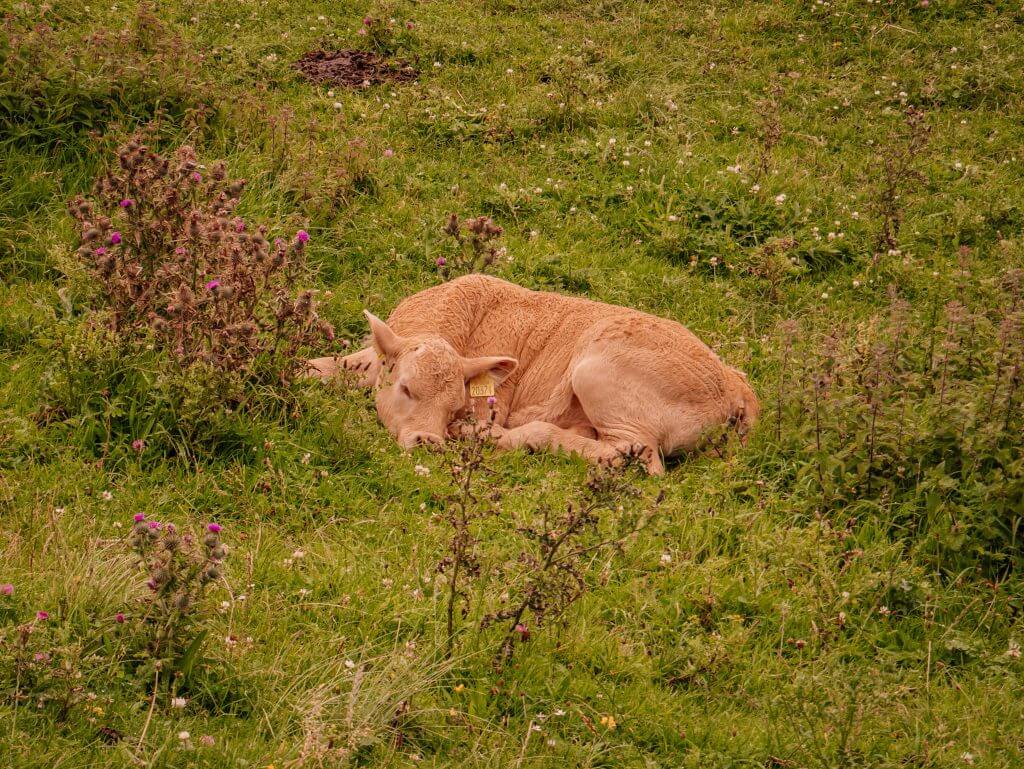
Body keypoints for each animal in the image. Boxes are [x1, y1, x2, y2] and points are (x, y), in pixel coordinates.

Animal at [306, 275, 759, 474]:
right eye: (404, 387)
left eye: (455, 406)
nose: (428, 442)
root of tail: (735, 386)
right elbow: (323, 367)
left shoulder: (491, 406)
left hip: (598, 374)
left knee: (637, 455)